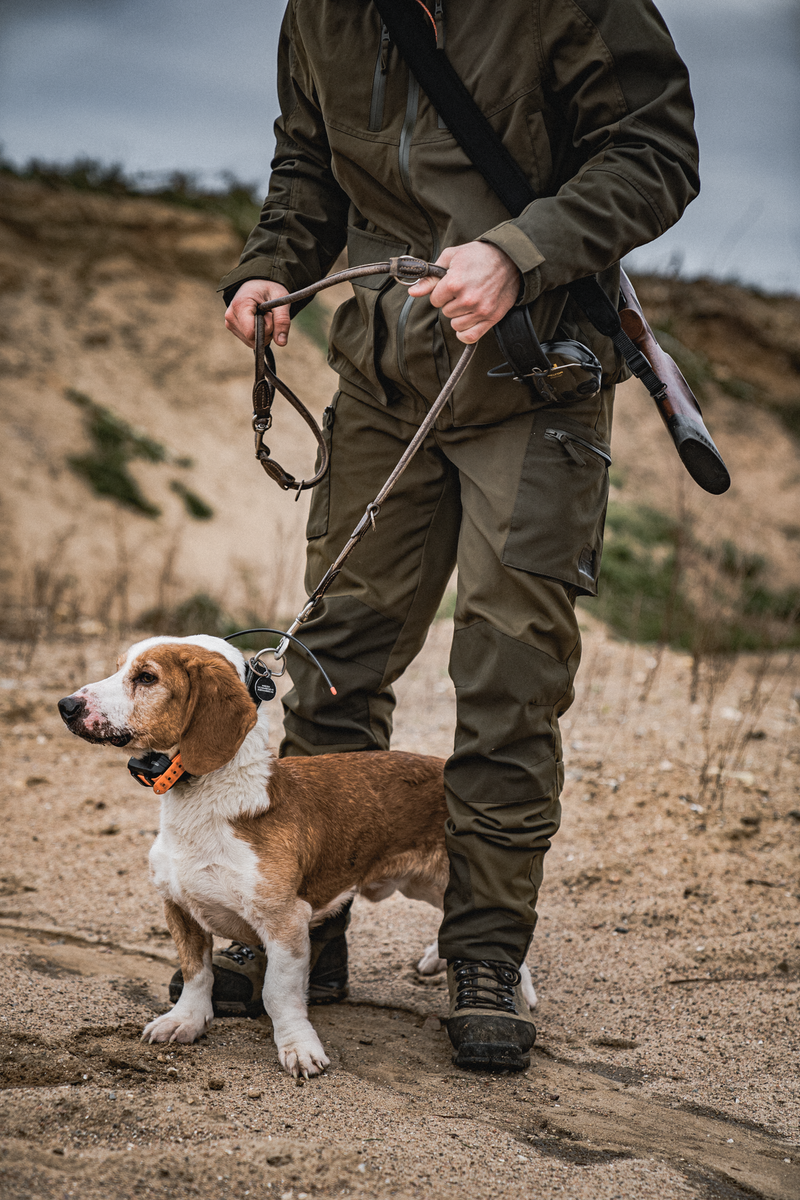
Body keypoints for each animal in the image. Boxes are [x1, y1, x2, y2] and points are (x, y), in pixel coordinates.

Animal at [59, 638, 534, 1080]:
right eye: (118, 667)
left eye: (146, 678)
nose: (66, 706)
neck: (206, 802)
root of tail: (443, 770)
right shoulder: (179, 907)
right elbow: (196, 974)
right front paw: (186, 1021)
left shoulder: (285, 924)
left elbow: (278, 995)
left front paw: (298, 1047)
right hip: (423, 883)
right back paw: (438, 957)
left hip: (450, 876)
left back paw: (515, 989)